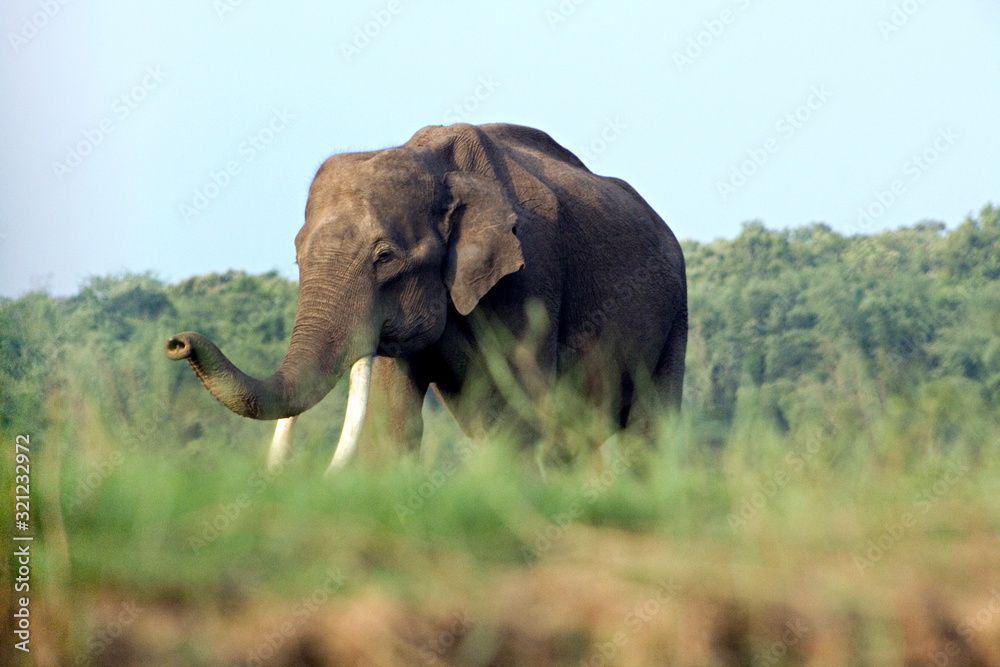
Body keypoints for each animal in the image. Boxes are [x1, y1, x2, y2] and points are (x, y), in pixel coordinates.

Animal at [166, 123, 687, 472]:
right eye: (297, 256)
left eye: (385, 257)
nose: (177, 342)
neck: (435, 164)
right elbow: (396, 420)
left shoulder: (533, 272)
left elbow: (522, 408)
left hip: (676, 318)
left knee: (645, 432)